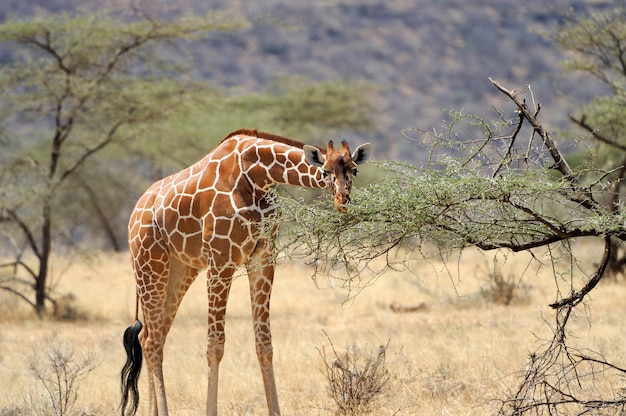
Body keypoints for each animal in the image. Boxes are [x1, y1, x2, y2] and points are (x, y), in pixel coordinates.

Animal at [119, 128, 368, 414]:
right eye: (325, 171)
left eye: (354, 170)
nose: (342, 201)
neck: (258, 178)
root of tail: (135, 213)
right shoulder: (221, 261)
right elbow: (214, 345)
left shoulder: (263, 258)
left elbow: (264, 344)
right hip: (149, 263)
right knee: (150, 340)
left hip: (181, 269)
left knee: (152, 336)